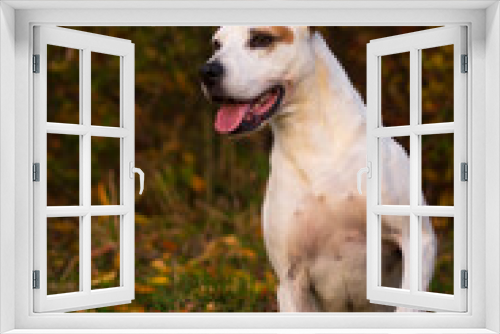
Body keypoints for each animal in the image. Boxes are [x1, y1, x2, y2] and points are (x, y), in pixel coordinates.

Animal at [201, 26, 436, 314]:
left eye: (261, 39)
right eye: (216, 44)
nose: (207, 71)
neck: (312, 143)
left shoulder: (416, 239)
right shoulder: (291, 279)